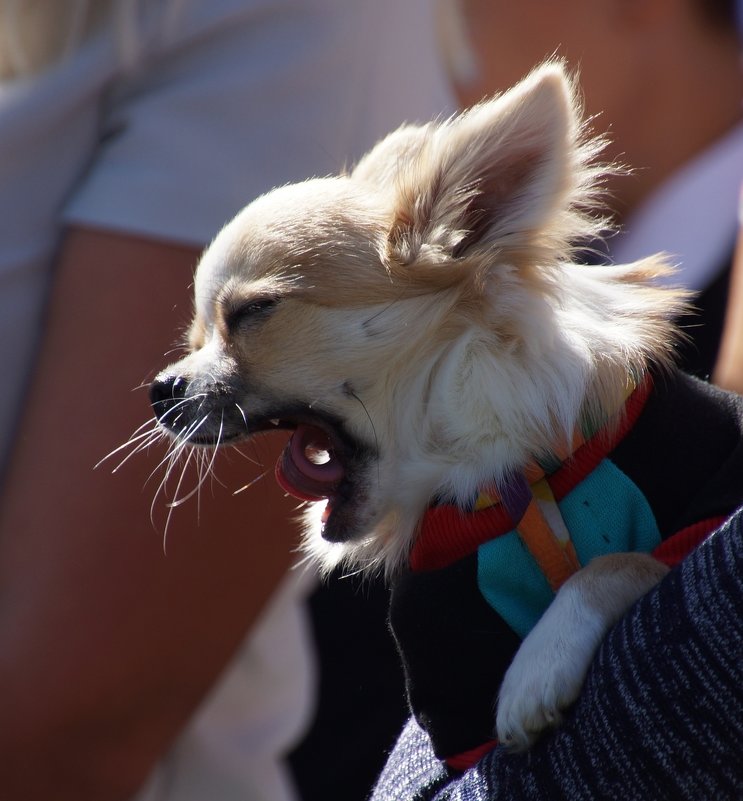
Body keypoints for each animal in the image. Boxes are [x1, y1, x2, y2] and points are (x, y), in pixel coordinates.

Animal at [148, 65, 743, 760]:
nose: (160, 388)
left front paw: (540, 665)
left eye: (251, 313)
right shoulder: (454, 687)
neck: (505, 475)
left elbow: (620, 561)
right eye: (194, 338)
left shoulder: (706, 499)